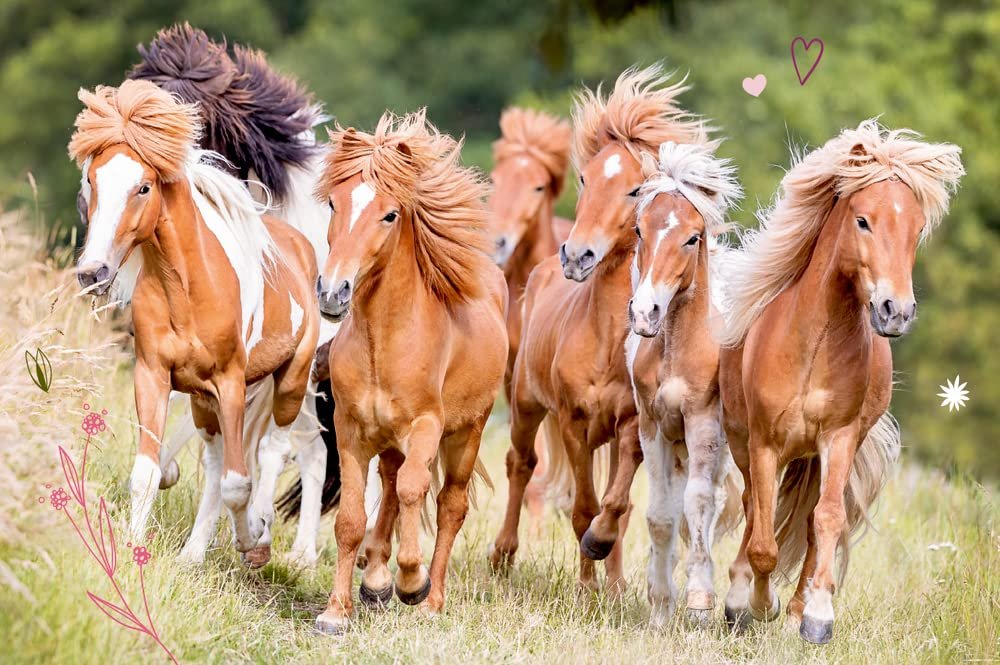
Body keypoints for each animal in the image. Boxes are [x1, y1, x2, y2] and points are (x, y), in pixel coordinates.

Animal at [69, 79, 320, 568]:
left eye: (144, 187)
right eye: (91, 180)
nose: (92, 272)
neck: (186, 290)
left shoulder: (231, 382)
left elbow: (239, 483)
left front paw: (251, 541)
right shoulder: (154, 376)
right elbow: (149, 473)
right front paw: (134, 552)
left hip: (290, 382)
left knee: (275, 450)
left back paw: (263, 536)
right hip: (205, 402)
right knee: (217, 460)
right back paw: (194, 553)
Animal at [312, 110, 507, 634]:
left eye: (390, 214)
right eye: (334, 203)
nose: (333, 291)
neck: (385, 343)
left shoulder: (426, 426)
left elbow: (416, 489)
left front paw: (411, 582)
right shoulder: (351, 429)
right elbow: (351, 519)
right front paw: (337, 612)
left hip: (466, 433)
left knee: (447, 504)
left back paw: (431, 598)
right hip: (388, 438)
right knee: (390, 488)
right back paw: (376, 580)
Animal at [489, 64, 707, 596]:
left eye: (634, 189)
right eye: (585, 177)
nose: (577, 255)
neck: (608, 343)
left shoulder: (631, 424)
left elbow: (617, 505)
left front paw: (610, 573)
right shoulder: (572, 421)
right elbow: (583, 505)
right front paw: (587, 585)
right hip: (525, 404)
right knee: (521, 466)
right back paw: (503, 556)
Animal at [717, 120, 964, 643]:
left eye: (917, 228)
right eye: (863, 221)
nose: (896, 311)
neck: (813, 345)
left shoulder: (840, 438)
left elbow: (826, 519)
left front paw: (815, 615)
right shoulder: (766, 443)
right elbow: (764, 539)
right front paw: (756, 605)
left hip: (818, 455)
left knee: (813, 519)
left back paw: (795, 610)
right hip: (743, 440)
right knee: (753, 507)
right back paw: (741, 602)